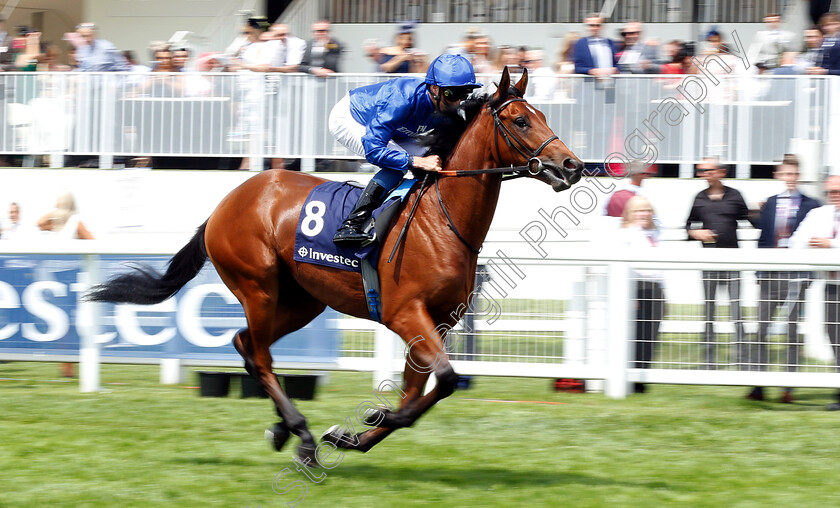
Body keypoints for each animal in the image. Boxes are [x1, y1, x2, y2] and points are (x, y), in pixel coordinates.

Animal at [87, 67, 584, 464]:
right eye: (520, 120)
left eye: (544, 116)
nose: (572, 165)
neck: (441, 219)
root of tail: (226, 203)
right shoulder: (407, 313)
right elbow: (442, 381)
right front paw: (363, 422)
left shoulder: (437, 321)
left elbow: (420, 391)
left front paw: (360, 432)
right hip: (258, 287)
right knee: (261, 355)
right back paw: (302, 436)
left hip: (301, 301)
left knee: (245, 344)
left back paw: (283, 428)